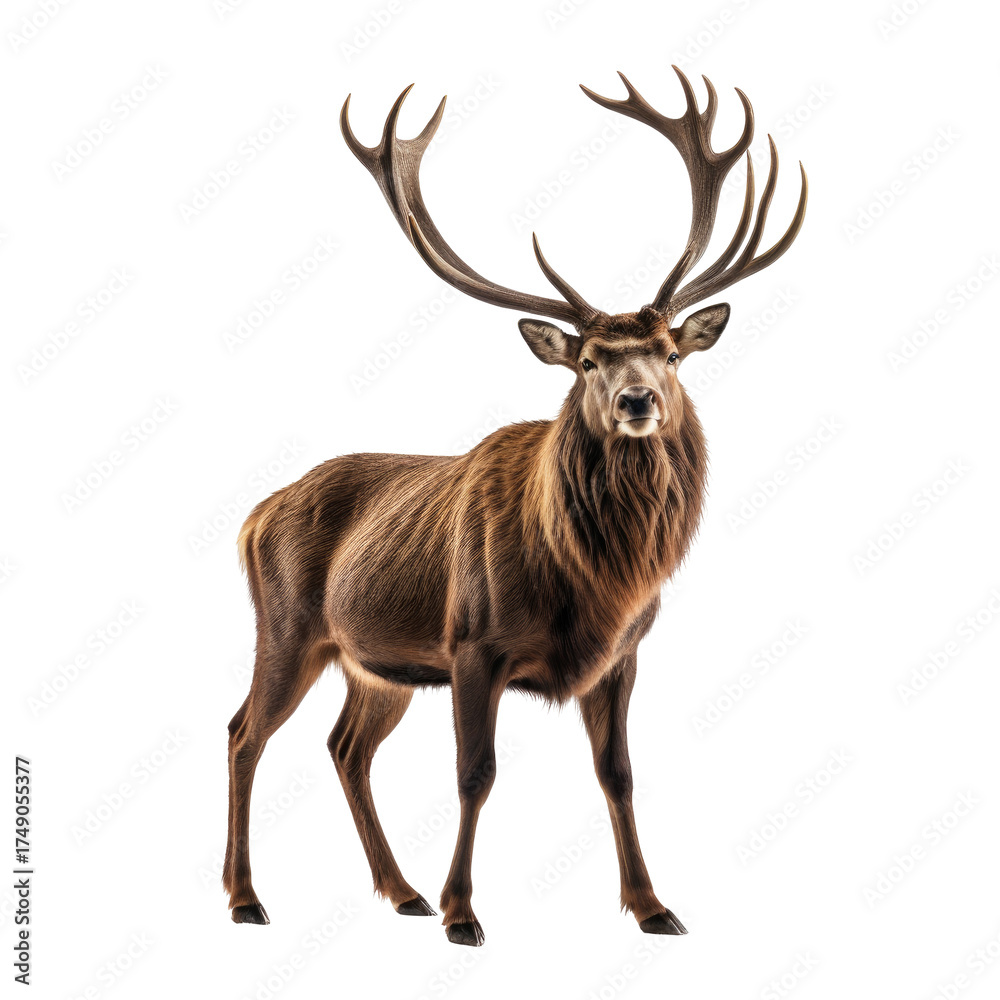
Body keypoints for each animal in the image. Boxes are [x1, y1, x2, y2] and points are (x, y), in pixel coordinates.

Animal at [223, 66, 807, 946]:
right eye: (589, 361)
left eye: (671, 353)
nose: (638, 400)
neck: (594, 581)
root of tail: (253, 516)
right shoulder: (472, 643)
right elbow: (475, 773)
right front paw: (463, 912)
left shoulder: (624, 653)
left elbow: (618, 772)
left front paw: (653, 905)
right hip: (288, 626)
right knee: (244, 733)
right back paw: (247, 897)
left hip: (378, 665)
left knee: (345, 746)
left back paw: (400, 891)